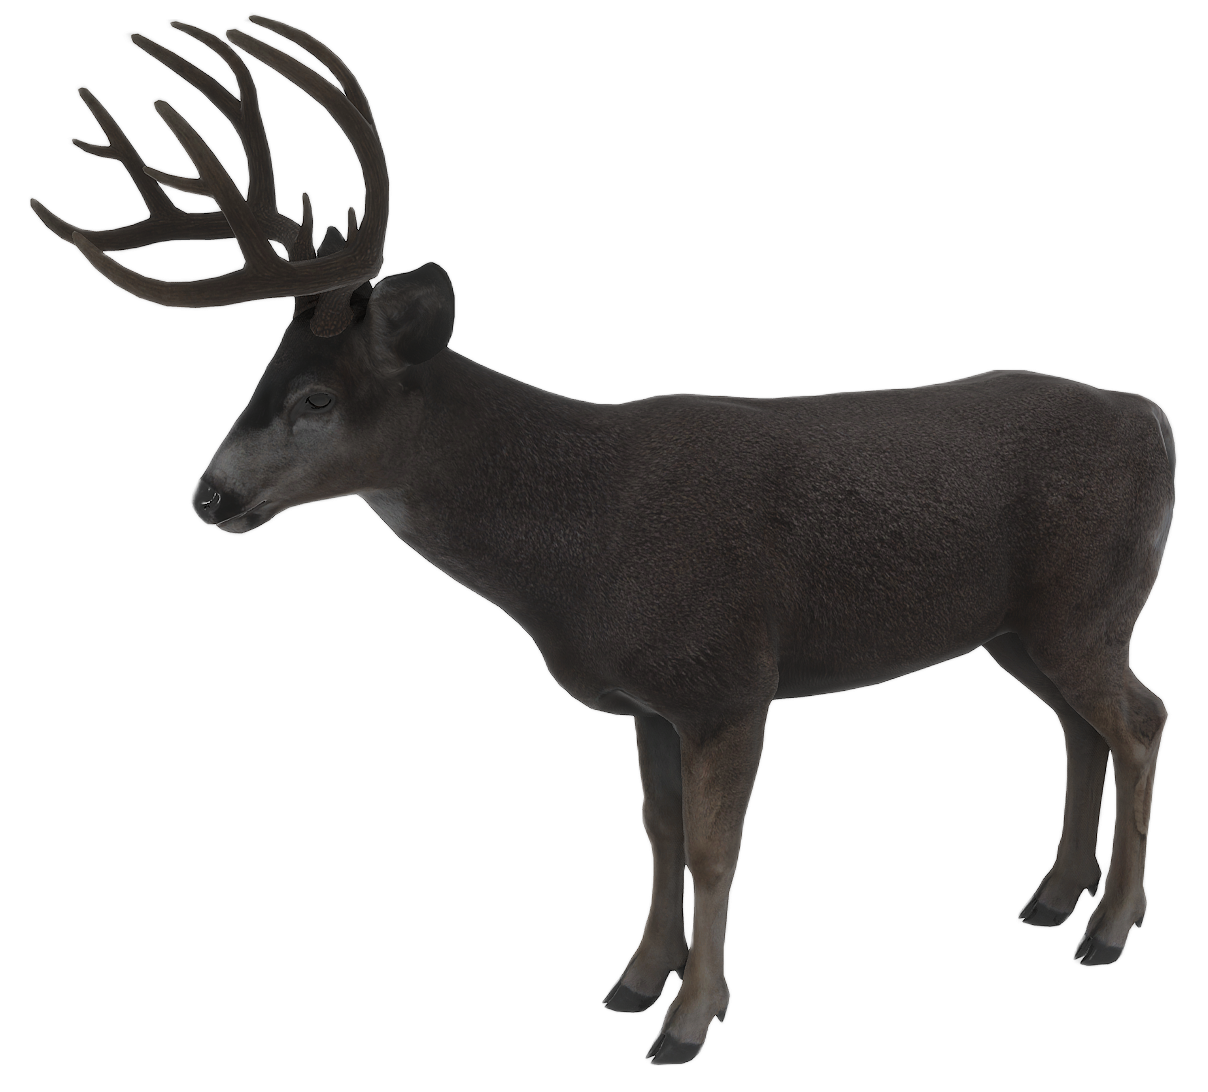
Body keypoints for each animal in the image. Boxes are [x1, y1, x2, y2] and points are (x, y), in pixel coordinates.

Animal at [30, 13, 1178, 1066]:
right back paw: (1052, 900)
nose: (209, 496)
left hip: (1088, 602)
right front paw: (632, 984)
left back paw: (1110, 930)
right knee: (1081, 725)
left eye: (315, 399)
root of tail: (1154, 418)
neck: (577, 553)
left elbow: (713, 851)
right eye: (261, 379)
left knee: (1140, 716)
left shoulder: (730, 678)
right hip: (1019, 626)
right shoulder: (649, 701)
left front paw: (689, 1021)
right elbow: (656, 837)